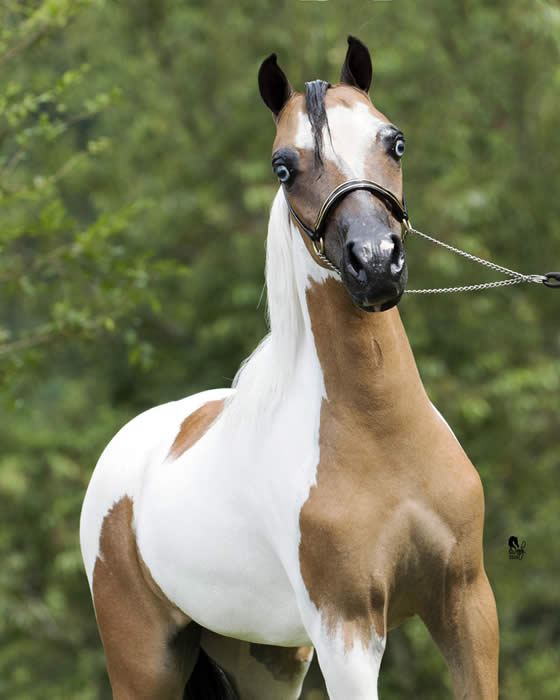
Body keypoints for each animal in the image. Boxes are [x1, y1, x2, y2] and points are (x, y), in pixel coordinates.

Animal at [80, 36, 499, 699]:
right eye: (284, 167)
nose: (374, 264)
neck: (383, 438)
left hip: (265, 660)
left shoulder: (466, 602)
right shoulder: (347, 629)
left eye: (394, 141)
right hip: (144, 665)